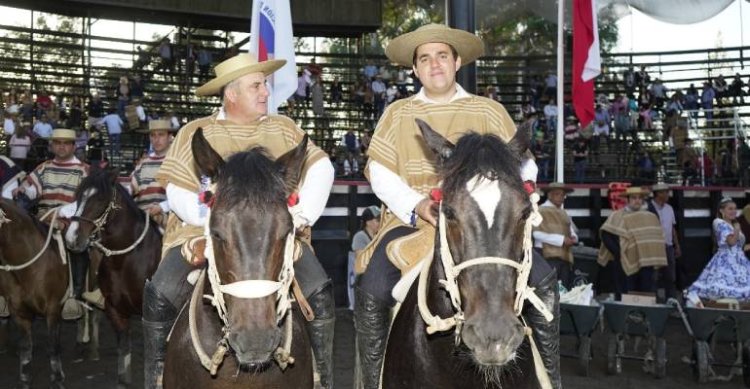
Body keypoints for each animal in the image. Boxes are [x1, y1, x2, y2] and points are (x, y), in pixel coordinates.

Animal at [0, 199, 67, 386]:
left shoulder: (52, 309)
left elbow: (53, 347)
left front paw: (58, 379)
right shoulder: (19, 313)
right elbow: (26, 350)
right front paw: (25, 380)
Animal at [65, 169, 163, 384]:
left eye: (101, 199)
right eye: (79, 197)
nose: (72, 239)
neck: (127, 261)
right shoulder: (116, 311)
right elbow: (124, 363)